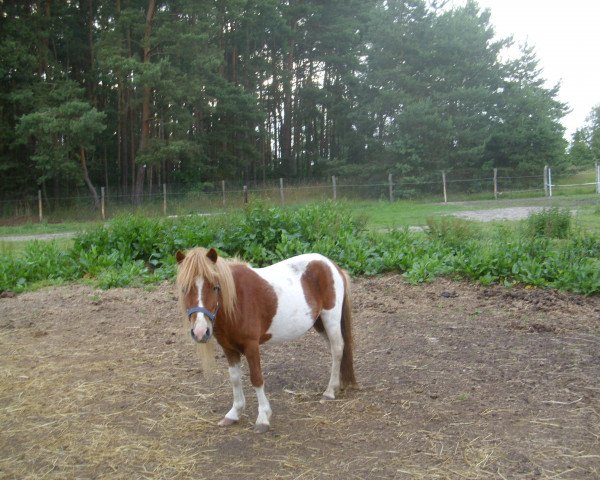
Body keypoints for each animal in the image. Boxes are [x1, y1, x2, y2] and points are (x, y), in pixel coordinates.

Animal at [176, 249, 358, 434]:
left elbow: (256, 379)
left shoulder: (251, 346)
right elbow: (235, 379)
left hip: (330, 318)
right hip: (319, 322)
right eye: (184, 289)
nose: (200, 332)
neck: (236, 300)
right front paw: (234, 413)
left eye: (215, 287)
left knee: (337, 349)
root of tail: (332, 266)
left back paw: (329, 391)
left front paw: (263, 417)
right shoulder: (229, 348)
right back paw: (338, 385)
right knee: (336, 350)